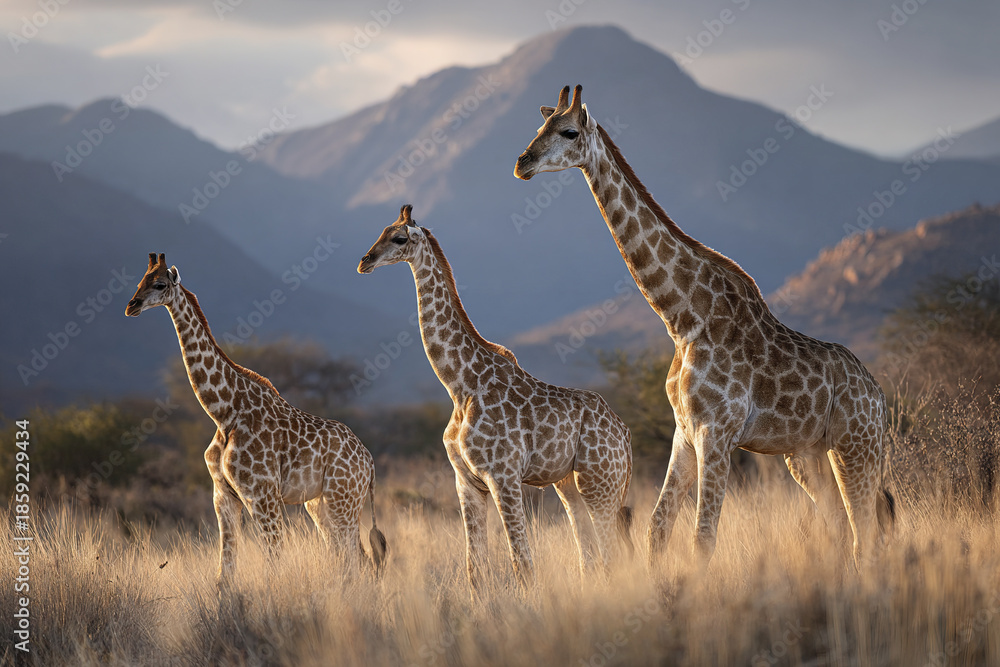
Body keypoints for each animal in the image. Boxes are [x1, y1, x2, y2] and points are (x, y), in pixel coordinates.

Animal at [125, 253, 387, 586]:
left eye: (159, 284)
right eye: (139, 282)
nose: (131, 306)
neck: (224, 412)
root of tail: (369, 461)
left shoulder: (261, 494)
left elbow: (274, 562)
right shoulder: (222, 495)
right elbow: (224, 573)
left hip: (344, 500)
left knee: (357, 559)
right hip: (319, 504)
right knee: (354, 557)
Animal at [358, 205, 633, 595]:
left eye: (398, 238)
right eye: (380, 232)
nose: (364, 261)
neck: (460, 386)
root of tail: (625, 434)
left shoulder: (503, 476)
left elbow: (522, 564)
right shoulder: (466, 482)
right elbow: (475, 570)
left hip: (600, 482)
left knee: (611, 554)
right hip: (570, 485)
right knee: (591, 557)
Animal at [513, 85, 894, 569]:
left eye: (569, 131)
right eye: (538, 126)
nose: (522, 162)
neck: (683, 319)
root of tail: (878, 396)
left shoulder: (718, 433)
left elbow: (703, 537)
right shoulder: (684, 433)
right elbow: (658, 528)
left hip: (855, 447)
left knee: (867, 530)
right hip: (806, 455)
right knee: (845, 528)